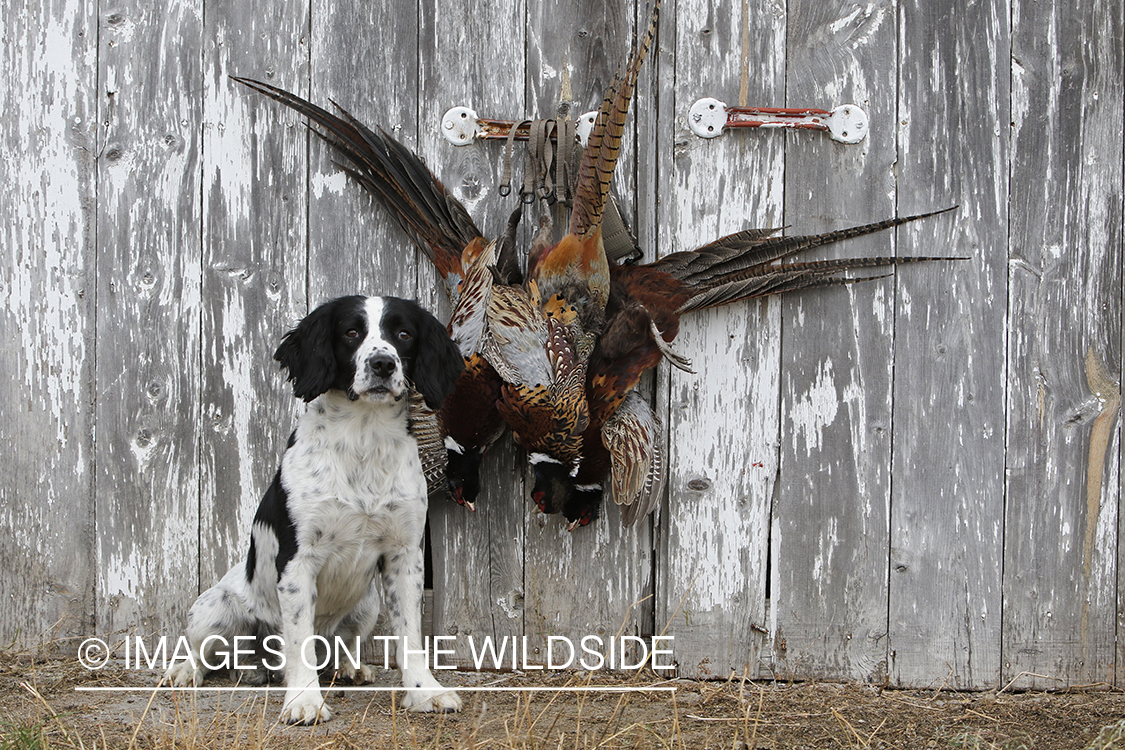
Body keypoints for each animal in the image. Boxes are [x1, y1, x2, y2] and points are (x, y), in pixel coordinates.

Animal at [164, 296, 463, 724]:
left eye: (404, 334)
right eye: (351, 332)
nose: (383, 364)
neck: (364, 439)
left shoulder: (404, 554)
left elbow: (410, 635)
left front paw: (426, 692)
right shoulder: (297, 560)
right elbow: (299, 639)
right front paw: (304, 700)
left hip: (367, 603)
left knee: (341, 645)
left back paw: (351, 668)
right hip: (213, 608)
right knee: (202, 651)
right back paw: (187, 670)